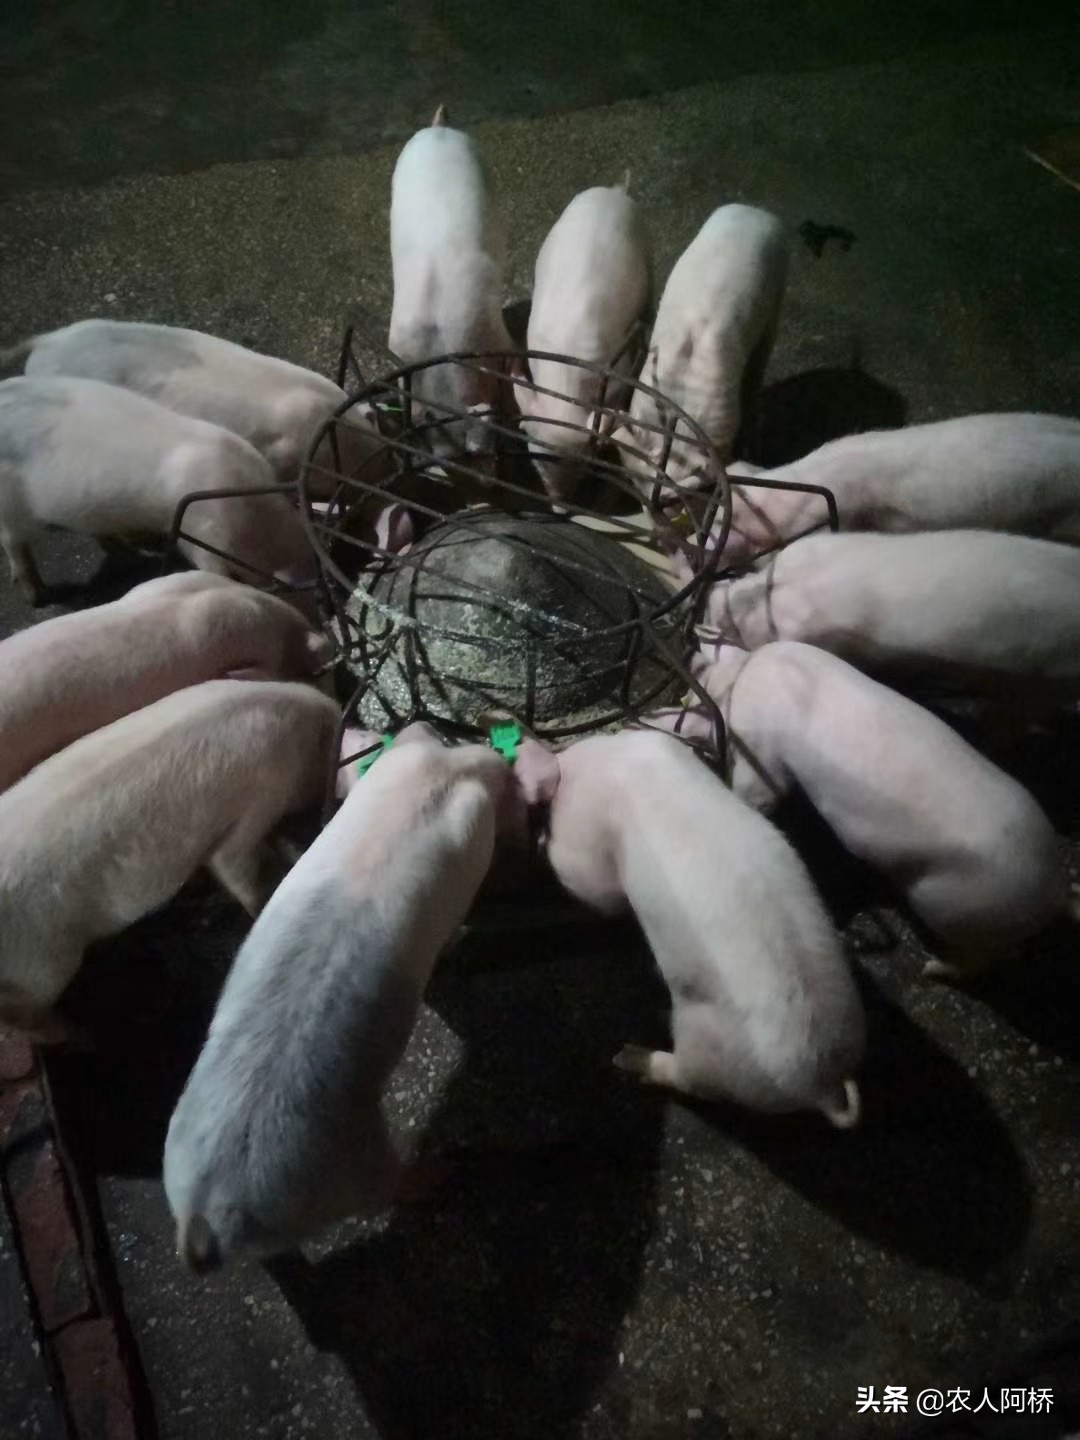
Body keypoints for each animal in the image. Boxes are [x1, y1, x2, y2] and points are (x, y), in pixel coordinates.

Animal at [0, 679, 339, 1039]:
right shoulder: (262, 796)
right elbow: (234, 862)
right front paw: (260, 908)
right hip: (43, 962)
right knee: (19, 1013)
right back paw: (76, 1033)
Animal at [162, 721, 515, 1269]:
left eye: (443, 742)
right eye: (460, 752)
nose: (494, 758)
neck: (422, 790)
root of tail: (205, 1215)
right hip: (348, 1168)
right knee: (386, 1189)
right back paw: (442, 1173)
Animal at [544, 728, 864, 1125]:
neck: (618, 758)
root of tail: (824, 1086)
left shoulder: (590, 840)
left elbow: (596, 888)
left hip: (714, 1056)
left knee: (689, 1080)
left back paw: (630, 1056)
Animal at [651, 641, 1071, 973]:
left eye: (693, 696)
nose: (665, 713)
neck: (745, 672)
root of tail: (1053, 890)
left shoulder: (763, 749)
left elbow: (761, 790)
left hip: (955, 906)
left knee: (988, 954)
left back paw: (932, 968)